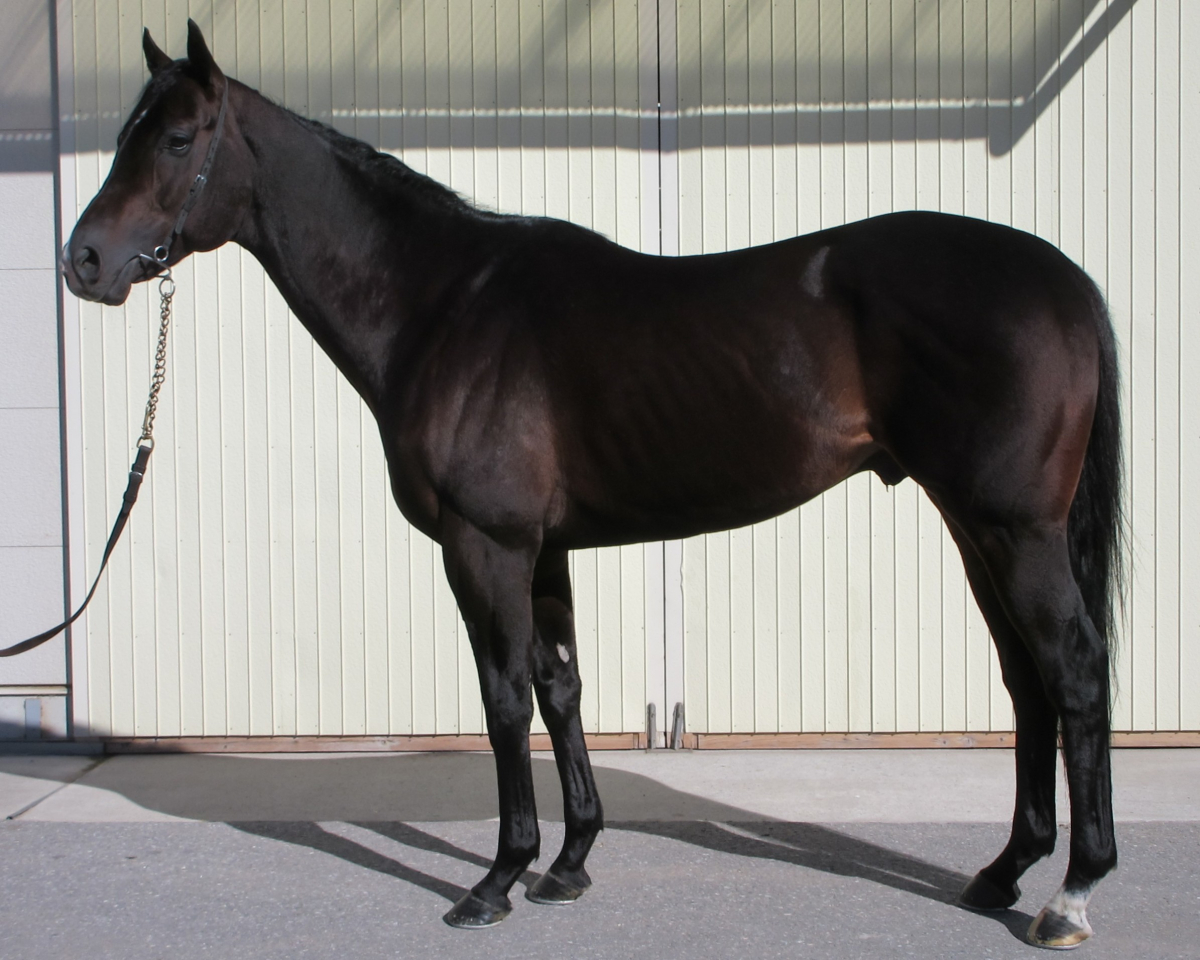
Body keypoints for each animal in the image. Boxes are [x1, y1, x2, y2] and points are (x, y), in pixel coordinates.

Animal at [63, 21, 1123, 948]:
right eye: (121, 136)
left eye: (178, 138)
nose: (84, 260)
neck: (442, 307)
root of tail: (1062, 280)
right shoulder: (544, 550)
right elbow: (561, 686)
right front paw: (567, 864)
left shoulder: (484, 546)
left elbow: (503, 701)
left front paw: (496, 879)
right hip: (977, 530)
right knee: (1025, 677)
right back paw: (1001, 872)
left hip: (1014, 530)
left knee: (1072, 670)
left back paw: (1071, 895)